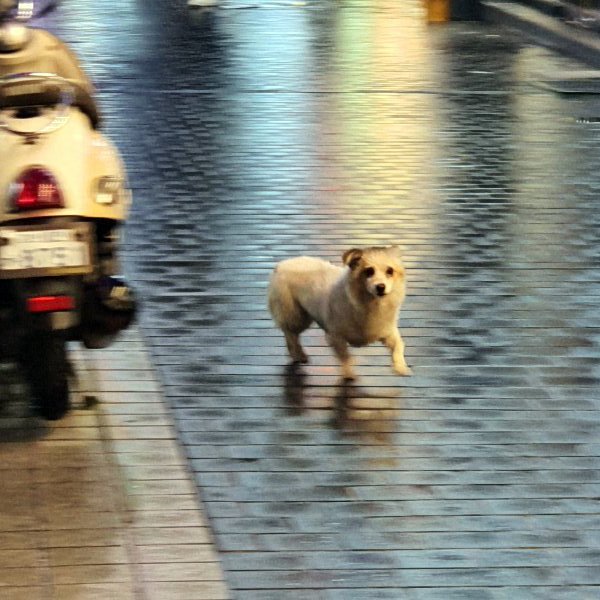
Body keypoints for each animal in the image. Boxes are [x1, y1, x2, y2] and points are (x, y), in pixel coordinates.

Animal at [268, 245, 412, 380]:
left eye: (390, 271)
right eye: (369, 271)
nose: (381, 287)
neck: (371, 304)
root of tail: (282, 264)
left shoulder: (387, 330)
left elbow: (399, 346)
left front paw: (400, 367)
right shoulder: (335, 336)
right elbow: (345, 356)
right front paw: (349, 374)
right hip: (296, 316)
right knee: (290, 335)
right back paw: (298, 354)